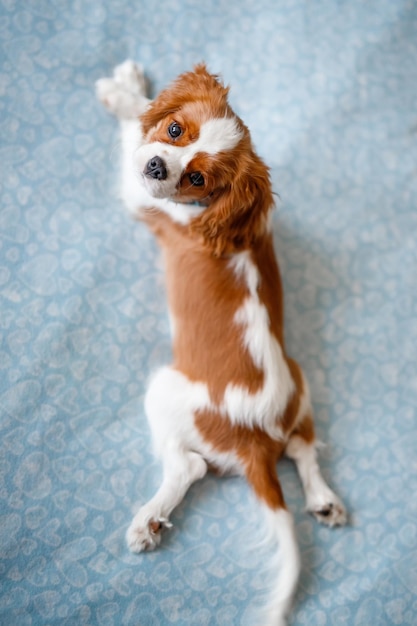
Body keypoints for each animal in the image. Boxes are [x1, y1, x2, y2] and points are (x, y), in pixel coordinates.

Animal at [96, 59, 346, 624]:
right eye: (174, 130)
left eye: (196, 178)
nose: (157, 168)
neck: (217, 214)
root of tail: (256, 437)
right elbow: (137, 129)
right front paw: (136, 94)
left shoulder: (139, 195)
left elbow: (127, 139)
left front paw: (120, 95)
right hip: (299, 380)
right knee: (303, 446)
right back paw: (323, 498)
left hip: (163, 391)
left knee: (187, 465)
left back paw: (148, 521)